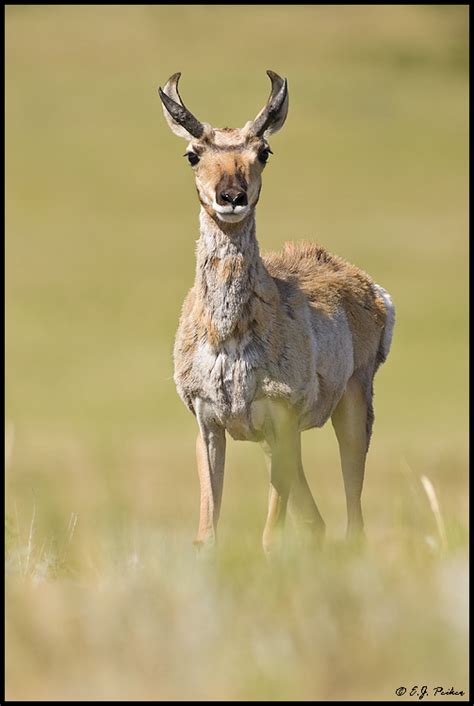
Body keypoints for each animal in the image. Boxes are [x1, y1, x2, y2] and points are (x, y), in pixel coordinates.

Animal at [157, 73, 394, 556]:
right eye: (193, 153)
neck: (229, 335)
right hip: (277, 440)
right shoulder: (208, 422)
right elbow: (206, 533)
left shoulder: (281, 418)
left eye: (263, 151)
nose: (232, 197)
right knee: (318, 521)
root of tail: (368, 285)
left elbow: (270, 535)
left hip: (352, 407)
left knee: (353, 520)